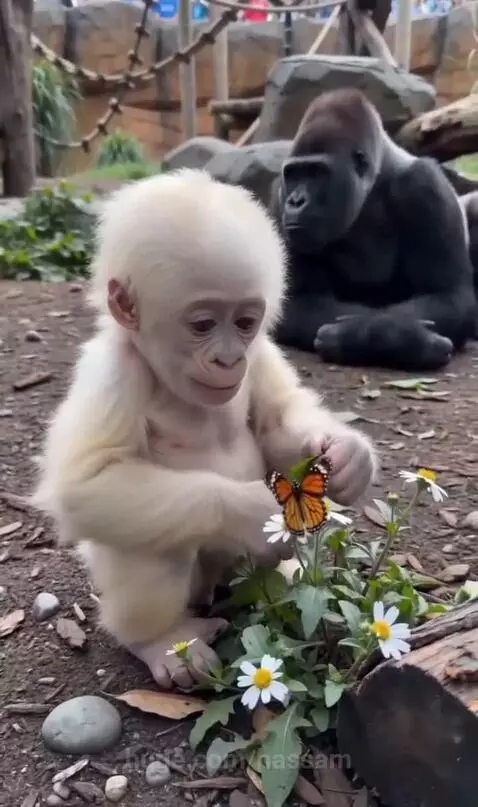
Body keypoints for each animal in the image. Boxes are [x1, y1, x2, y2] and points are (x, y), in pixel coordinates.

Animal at [32, 169, 377, 690]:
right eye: (201, 325)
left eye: (245, 322)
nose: (229, 359)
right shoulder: (114, 370)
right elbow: (86, 483)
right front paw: (252, 510)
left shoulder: (262, 353)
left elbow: (277, 423)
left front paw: (348, 454)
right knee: (152, 541)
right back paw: (161, 640)